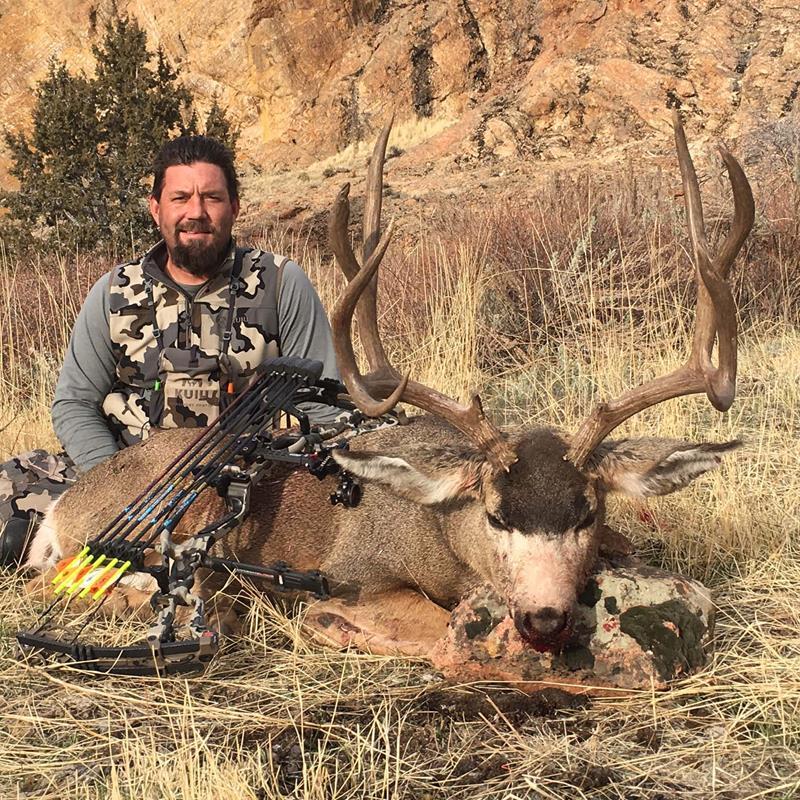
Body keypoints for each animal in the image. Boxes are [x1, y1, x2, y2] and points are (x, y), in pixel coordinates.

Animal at [24, 112, 754, 658]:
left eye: (587, 514)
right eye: (496, 514)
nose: (544, 621)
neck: (442, 533)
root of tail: (65, 506)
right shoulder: (356, 577)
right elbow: (435, 629)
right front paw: (327, 627)